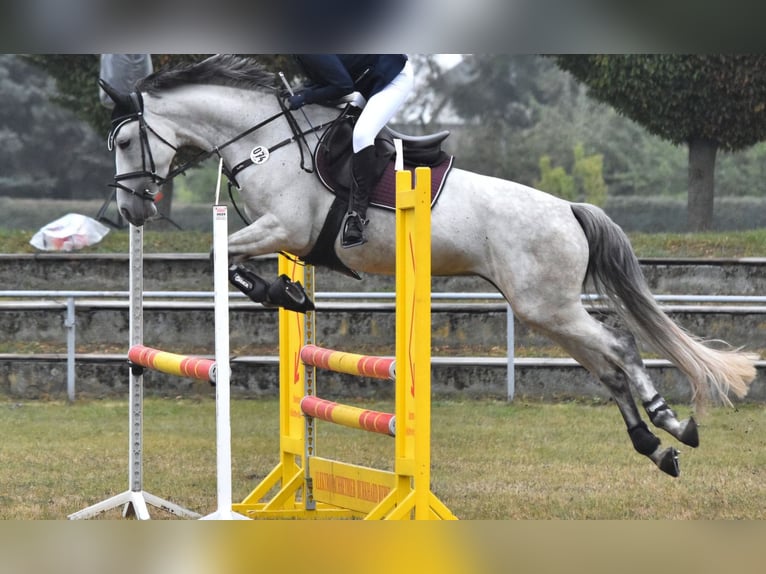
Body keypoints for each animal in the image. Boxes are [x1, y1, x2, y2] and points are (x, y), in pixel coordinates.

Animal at [100, 55, 756, 476]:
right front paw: (289, 292)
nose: (131, 210)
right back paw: (655, 448)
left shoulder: (285, 228)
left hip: (548, 305)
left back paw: (674, 424)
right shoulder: (283, 237)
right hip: (544, 311)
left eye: (127, 142)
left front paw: (281, 293)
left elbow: (222, 254)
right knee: (608, 369)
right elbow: (235, 260)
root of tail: (569, 209)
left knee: (620, 348)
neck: (268, 143)